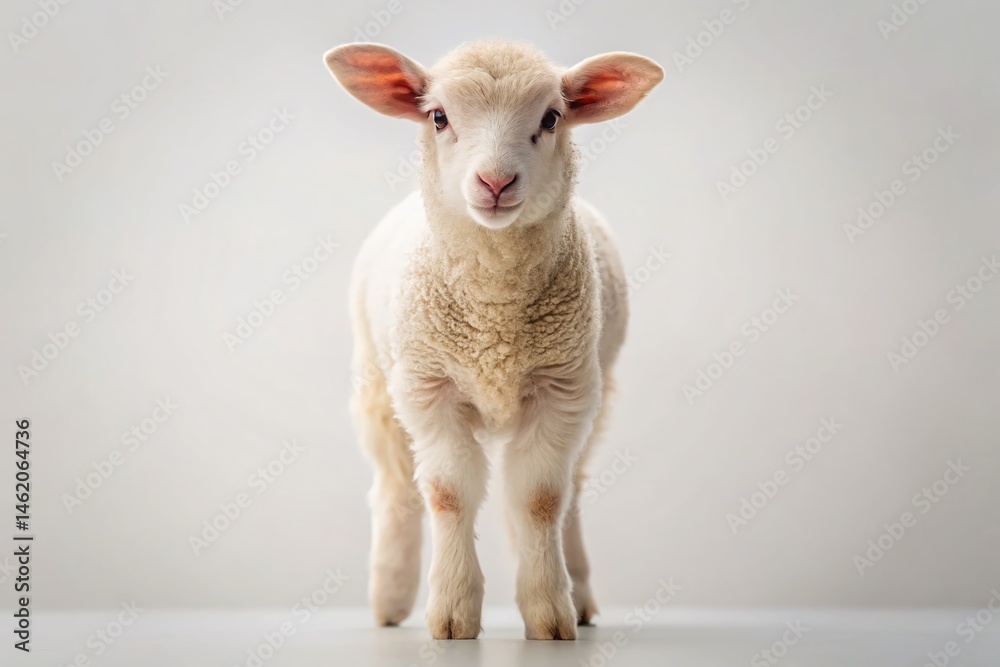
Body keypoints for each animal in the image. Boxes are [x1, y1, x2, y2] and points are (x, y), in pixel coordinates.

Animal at [324, 39, 663, 640]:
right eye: (438, 117)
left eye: (551, 118)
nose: (496, 183)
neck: (494, 319)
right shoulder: (429, 389)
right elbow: (448, 495)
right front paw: (453, 613)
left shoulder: (562, 390)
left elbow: (541, 499)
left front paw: (549, 613)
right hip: (378, 387)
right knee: (396, 487)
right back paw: (389, 599)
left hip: (594, 398)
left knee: (568, 490)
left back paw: (578, 594)